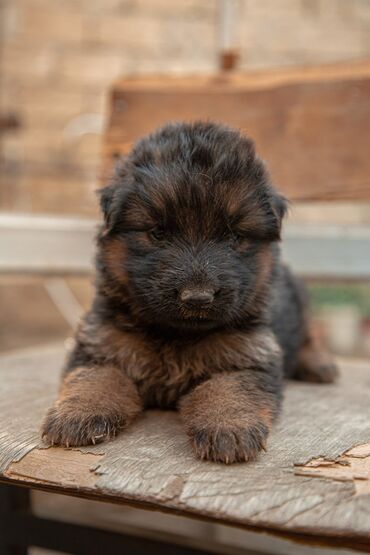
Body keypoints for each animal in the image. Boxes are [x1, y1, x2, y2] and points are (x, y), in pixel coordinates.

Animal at [41, 121, 338, 464]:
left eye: (234, 236)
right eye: (158, 232)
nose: (198, 297)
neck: (176, 334)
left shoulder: (248, 354)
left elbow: (229, 388)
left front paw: (228, 425)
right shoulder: (100, 344)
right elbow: (94, 377)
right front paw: (77, 413)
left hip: (299, 299)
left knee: (310, 334)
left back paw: (319, 364)